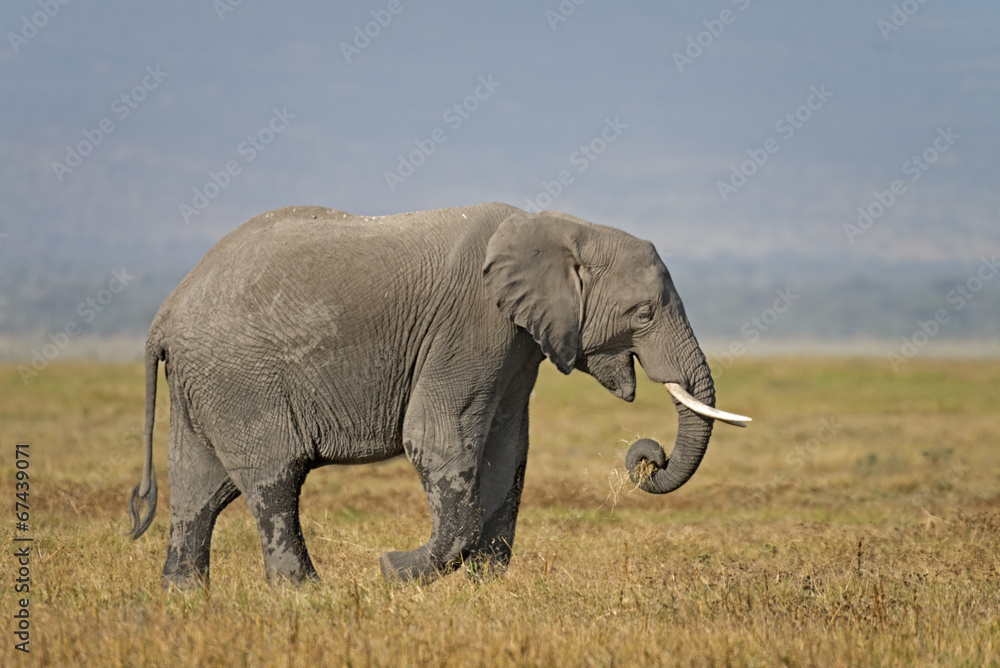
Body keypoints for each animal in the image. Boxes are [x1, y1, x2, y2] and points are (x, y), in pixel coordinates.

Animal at [127, 201, 752, 588]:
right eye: (643, 314)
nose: (648, 457)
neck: (558, 226)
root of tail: (164, 314)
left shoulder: (516, 343)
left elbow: (506, 449)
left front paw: (485, 585)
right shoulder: (472, 325)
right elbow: (438, 439)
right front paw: (395, 571)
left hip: (205, 384)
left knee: (200, 490)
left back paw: (183, 598)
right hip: (241, 379)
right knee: (273, 478)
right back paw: (306, 594)